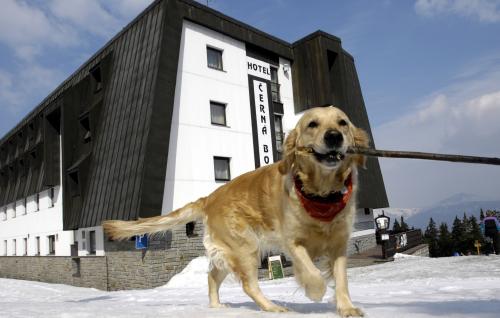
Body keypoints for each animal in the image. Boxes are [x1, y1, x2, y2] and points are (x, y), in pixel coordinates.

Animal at [102, 105, 368, 316]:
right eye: (313, 124)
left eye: (342, 122)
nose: (334, 136)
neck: (322, 193)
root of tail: (210, 197)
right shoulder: (292, 241)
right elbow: (312, 272)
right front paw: (314, 291)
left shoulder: (339, 243)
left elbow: (342, 279)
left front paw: (347, 308)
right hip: (244, 246)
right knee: (249, 285)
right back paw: (272, 307)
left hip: (229, 252)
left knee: (212, 276)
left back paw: (217, 307)